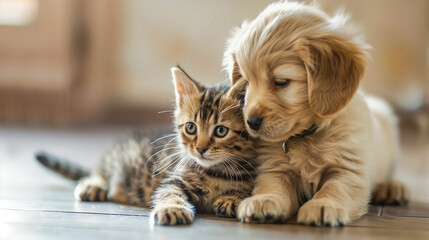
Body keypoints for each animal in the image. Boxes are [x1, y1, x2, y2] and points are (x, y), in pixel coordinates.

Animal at [36, 66, 258, 225]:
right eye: (191, 128)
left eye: (220, 131)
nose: (200, 149)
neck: (218, 170)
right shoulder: (174, 179)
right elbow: (168, 192)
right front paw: (172, 208)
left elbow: (247, 189)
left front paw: (233, 198)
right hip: (121, 155)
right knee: (101, 169)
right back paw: (93, 184)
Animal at [224, 1, 408, 227]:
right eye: (246, 83)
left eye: (281, 82)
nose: (251, 122)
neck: (307, 136)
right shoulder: (274, 167)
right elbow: (272, 185)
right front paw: (263, 200)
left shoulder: (348, 169)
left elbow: (335, 187)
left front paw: (323, 205)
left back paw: (391, 187)